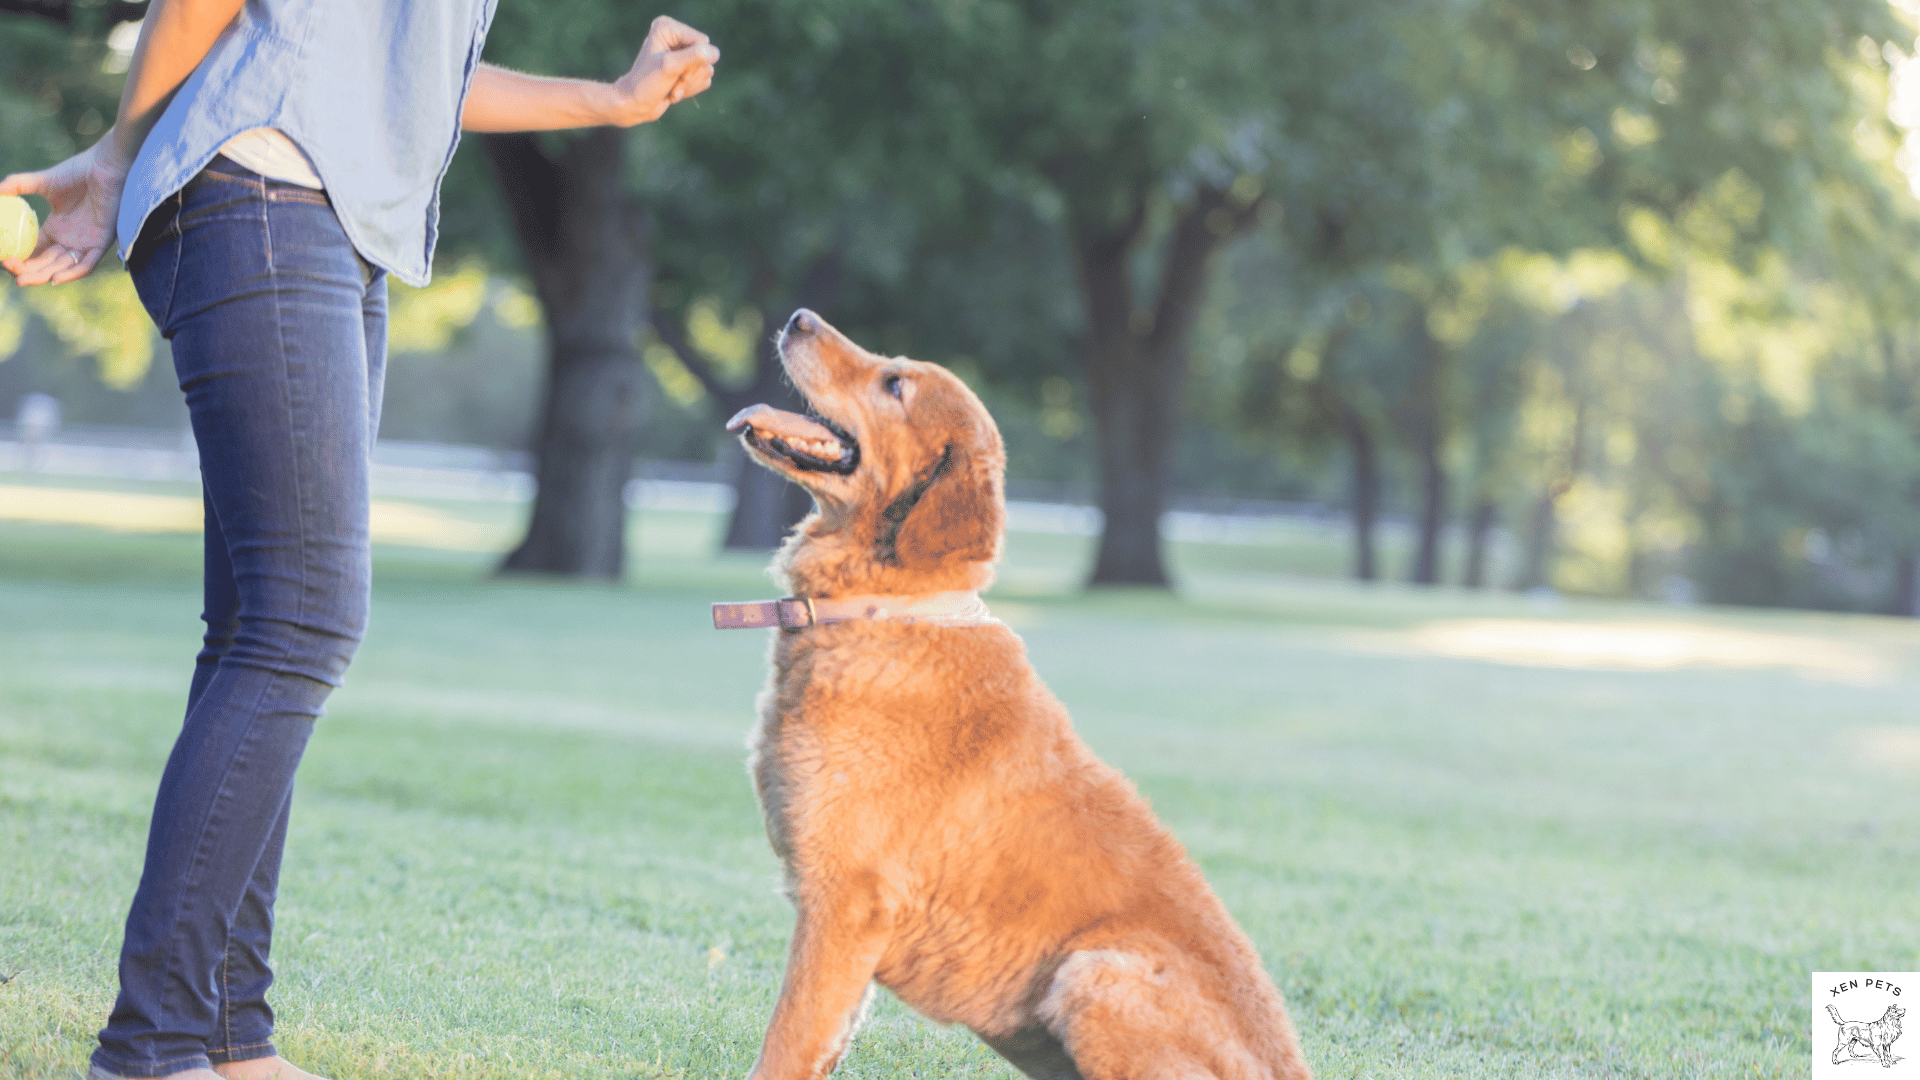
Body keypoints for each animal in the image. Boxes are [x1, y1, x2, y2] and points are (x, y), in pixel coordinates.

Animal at [721, 305, 1320, 1076]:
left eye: (894, 384)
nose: (798, 317)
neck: (885, 607)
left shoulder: (846, 903)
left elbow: (785, 1045)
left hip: (1094, 974)